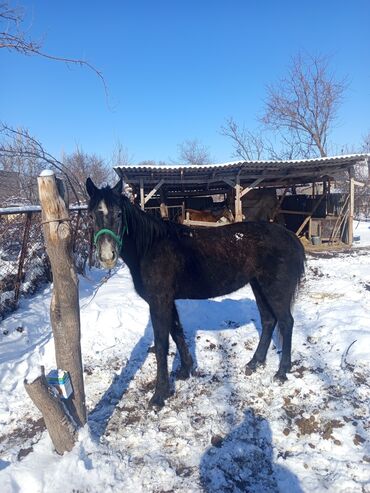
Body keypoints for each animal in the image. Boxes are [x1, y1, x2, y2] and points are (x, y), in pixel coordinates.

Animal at [87, 179, 306, 406]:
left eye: (119, 214)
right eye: (91, 215)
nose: (107, 256)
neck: (150, 247)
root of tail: (290, 236)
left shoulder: (159, 301)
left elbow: (161, 345)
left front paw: (159, 395)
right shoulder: (167, 301)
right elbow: (176, 332)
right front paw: (185, 370)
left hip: (275, 290)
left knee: (286, 323)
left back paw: (281, 372)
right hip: (259, 286)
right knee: (269, 321)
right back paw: (254, 363)